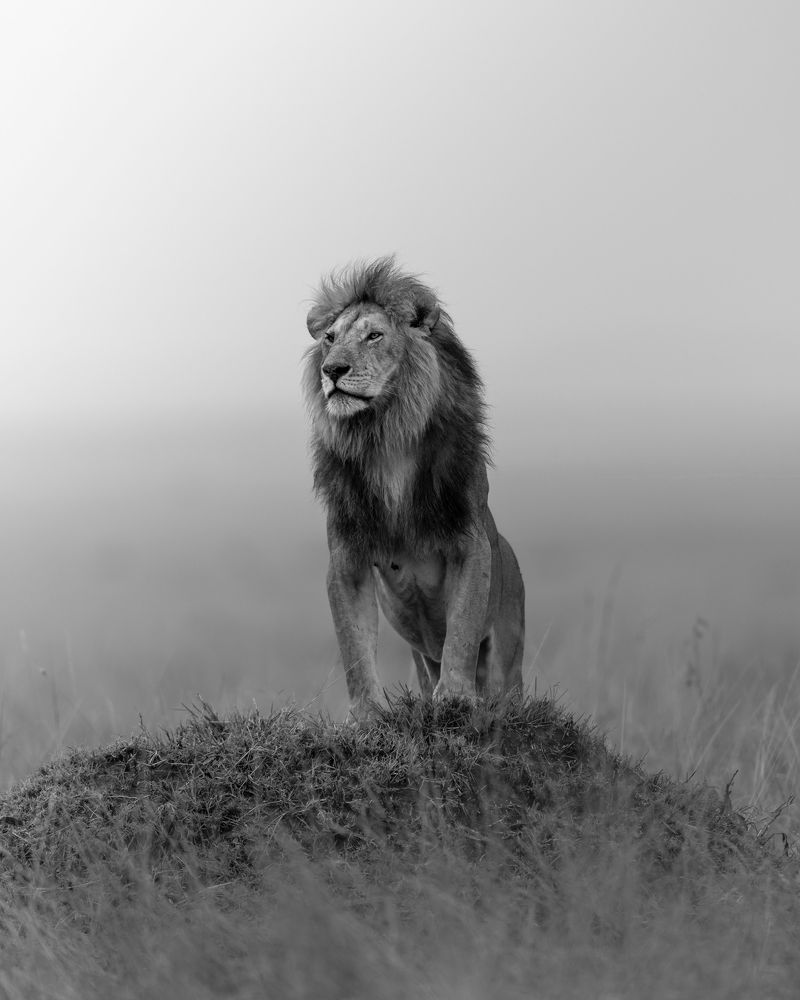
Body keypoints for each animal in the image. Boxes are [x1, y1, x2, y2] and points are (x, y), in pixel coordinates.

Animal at [303, 257, 525, 719]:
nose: (331, 370)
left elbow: (461, 630)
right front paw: (367, 714)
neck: (386, 437)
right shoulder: (346, 558)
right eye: (330, 339)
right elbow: (354, 646)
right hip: (422, 658)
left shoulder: (470, 542)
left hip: (509, 656)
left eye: (374, 335)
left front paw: (456, 697)